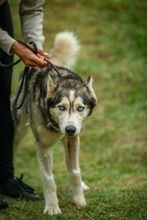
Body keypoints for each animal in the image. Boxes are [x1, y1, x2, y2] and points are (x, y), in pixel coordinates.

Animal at [12, 31, 97, 215]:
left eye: (80, 108)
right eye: (61, 107)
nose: (70, 129)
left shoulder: (73, 140)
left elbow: (74, 171)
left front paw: (79, 200)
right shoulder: (43, 146)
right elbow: (48, 178)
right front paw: (52, 207)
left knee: (70, 162)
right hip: (18, 128)